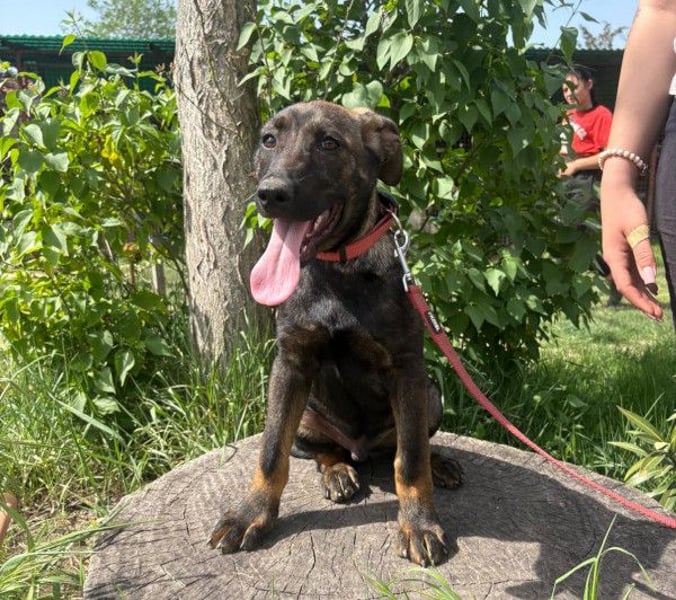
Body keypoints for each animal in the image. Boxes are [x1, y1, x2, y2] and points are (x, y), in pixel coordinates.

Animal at [209, 100, 462, 566]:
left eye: (329, 143)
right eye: (269, 139)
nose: (270, 194)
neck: (337, 268)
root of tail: (360, 447)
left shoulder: (407, 371)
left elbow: (409, 459)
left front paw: (418, 524)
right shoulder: (290, 364)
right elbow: (270, 452)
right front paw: (251, 514)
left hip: (429, 395)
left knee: (404, 444)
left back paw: (438, 462)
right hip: (307, 413)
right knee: (325, 452)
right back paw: (339, 472)